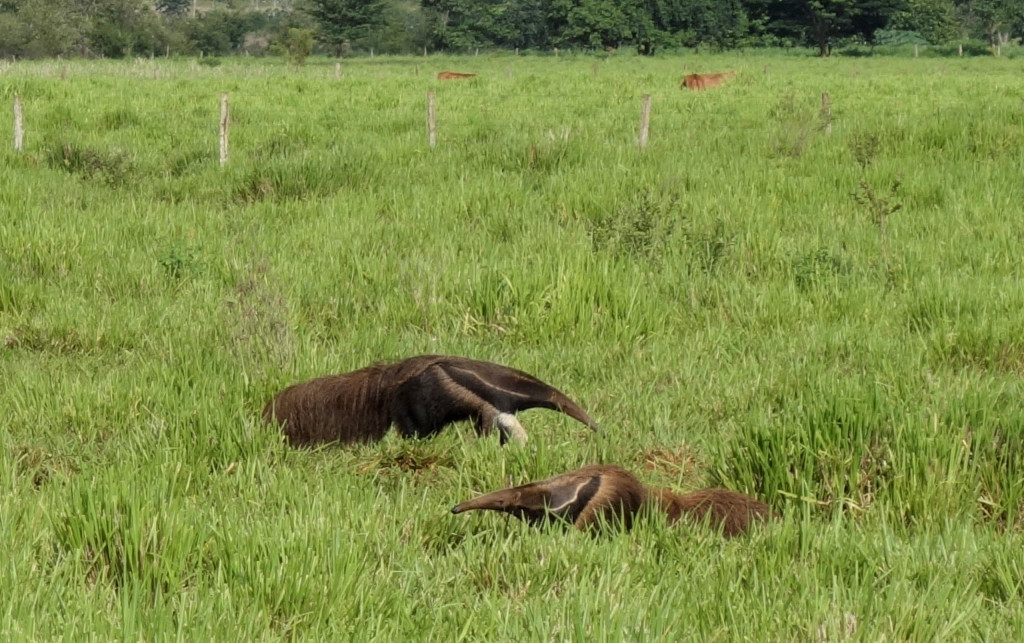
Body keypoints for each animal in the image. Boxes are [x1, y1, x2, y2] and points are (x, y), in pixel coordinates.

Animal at [264, 354, 598, 444]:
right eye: (565, 404)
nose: (597, 427)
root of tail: (388, 379)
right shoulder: (487, 399)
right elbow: (496, 424)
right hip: (416, 400)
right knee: (417, 429)